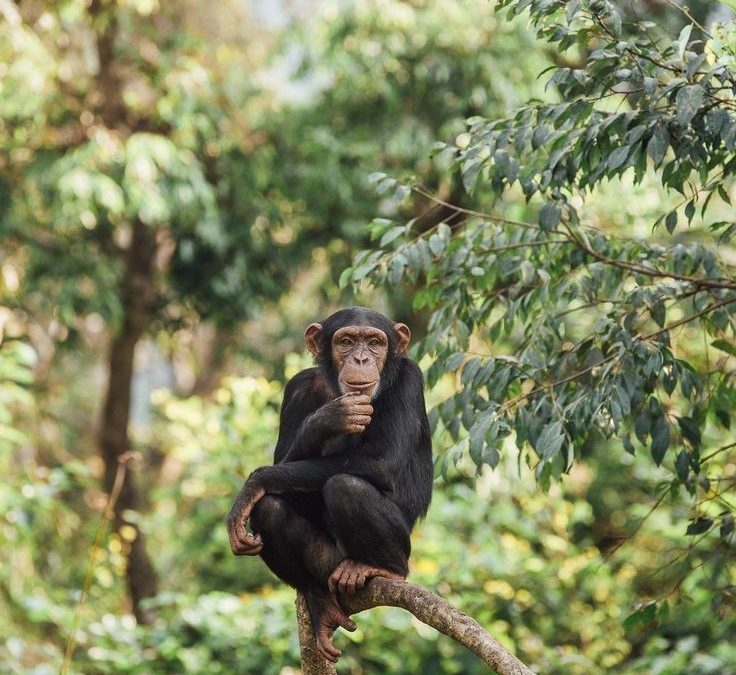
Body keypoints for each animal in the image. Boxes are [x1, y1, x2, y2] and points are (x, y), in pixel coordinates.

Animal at [224, 306, 432, 660]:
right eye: (346, 342)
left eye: (375, 342)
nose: (361, 358)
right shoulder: (296, 387)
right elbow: (282, 460)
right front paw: (325, 419)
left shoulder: (410, 379)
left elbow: (381, 461)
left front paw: (252, 484)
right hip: (328, 566)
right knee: (269, 509)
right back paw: (319, 600)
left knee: (346, 487)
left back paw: (386, 568)